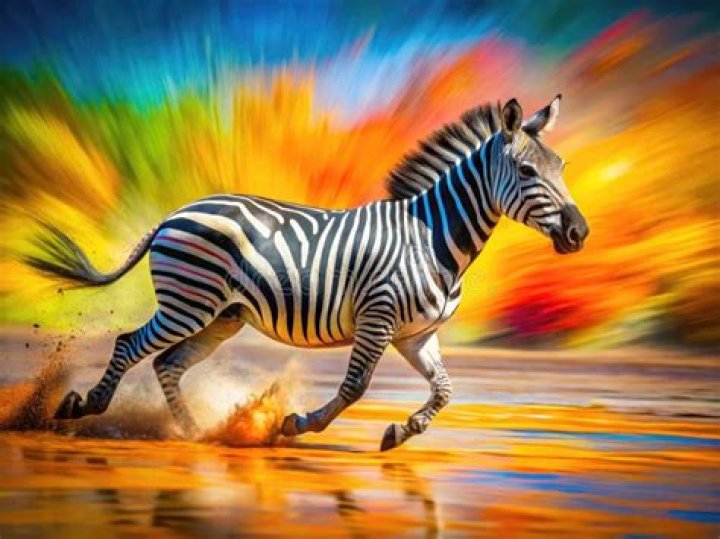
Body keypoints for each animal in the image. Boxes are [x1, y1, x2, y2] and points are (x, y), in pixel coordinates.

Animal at [28, 95, 588, 451]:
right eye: (527, 172)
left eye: (561, 167)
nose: (579, 232)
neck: (433, 238)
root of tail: (175, 213)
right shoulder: (378, 318)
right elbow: (356, 387)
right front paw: (297, 424)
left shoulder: (415, 334)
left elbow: (445, 391)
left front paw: (399, 433)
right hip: (189, 303)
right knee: (129, 345)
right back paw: (84, 407)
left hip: (221, 315)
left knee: (167, 363)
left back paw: (195, 433)